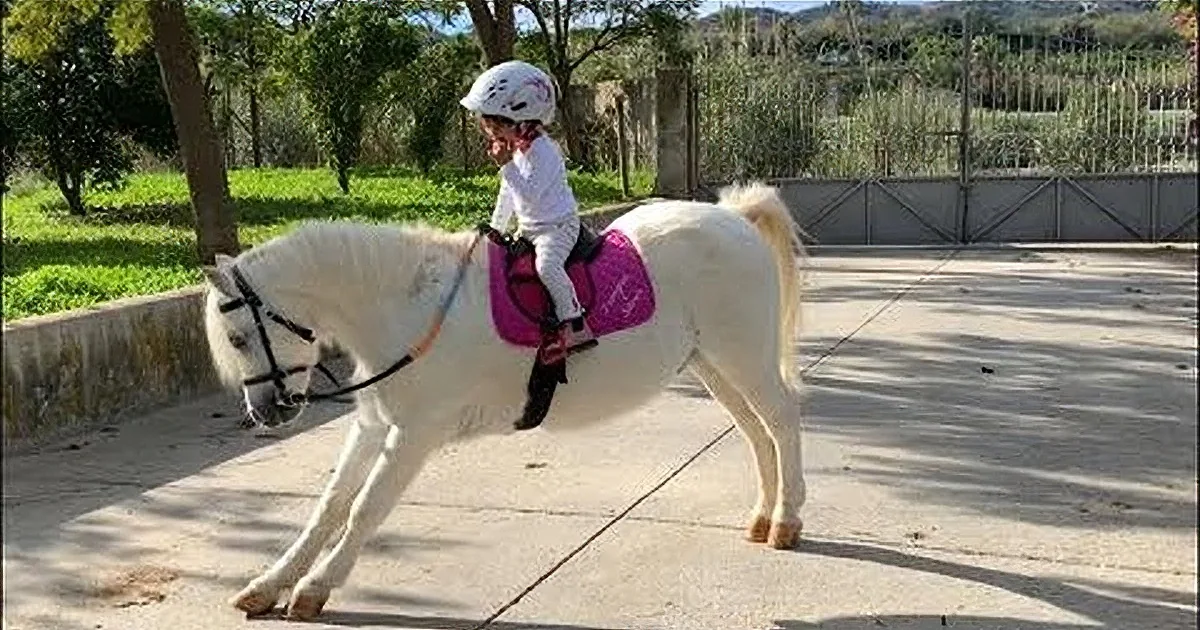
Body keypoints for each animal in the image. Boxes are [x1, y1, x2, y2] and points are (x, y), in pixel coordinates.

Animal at [200, 182, 809, 621]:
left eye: (238, 337)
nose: (265, 412)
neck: (406, 308)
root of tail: (735, 217)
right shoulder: (374, 426)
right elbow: (328, 506)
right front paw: (267, 584)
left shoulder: (414, 434)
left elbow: (363, 510)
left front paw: (313, 589)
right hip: (712, 364)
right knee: (754, 429)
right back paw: (762, 516)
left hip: (743, 357)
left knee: (781, 420)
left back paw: (786, 519)